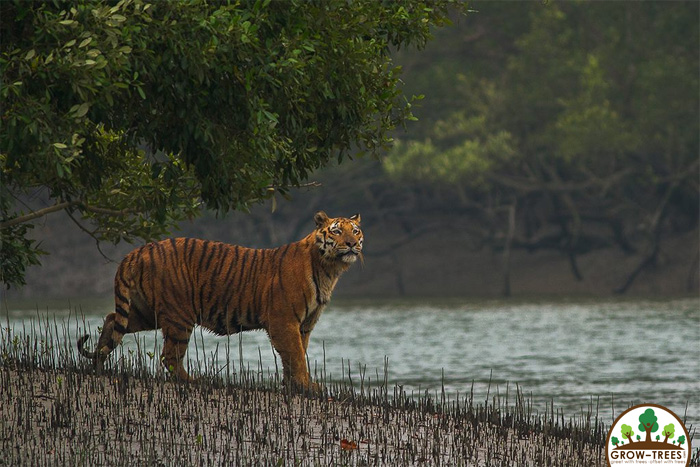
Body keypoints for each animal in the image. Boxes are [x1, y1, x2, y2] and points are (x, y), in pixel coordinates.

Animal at [77, 211, 363, 390]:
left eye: (356, 231)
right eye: (337, 231)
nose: (351, 244)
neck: (329, 269)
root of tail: (138, 251)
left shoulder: (304, 324)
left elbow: (297, 354)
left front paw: (294, 384)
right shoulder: (284, 321)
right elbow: (295, 355)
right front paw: (306, 386)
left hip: (145, 312)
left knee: (112, 320)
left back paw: (98, 365)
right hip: (179, 315)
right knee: (169, 356)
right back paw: (193, 381)